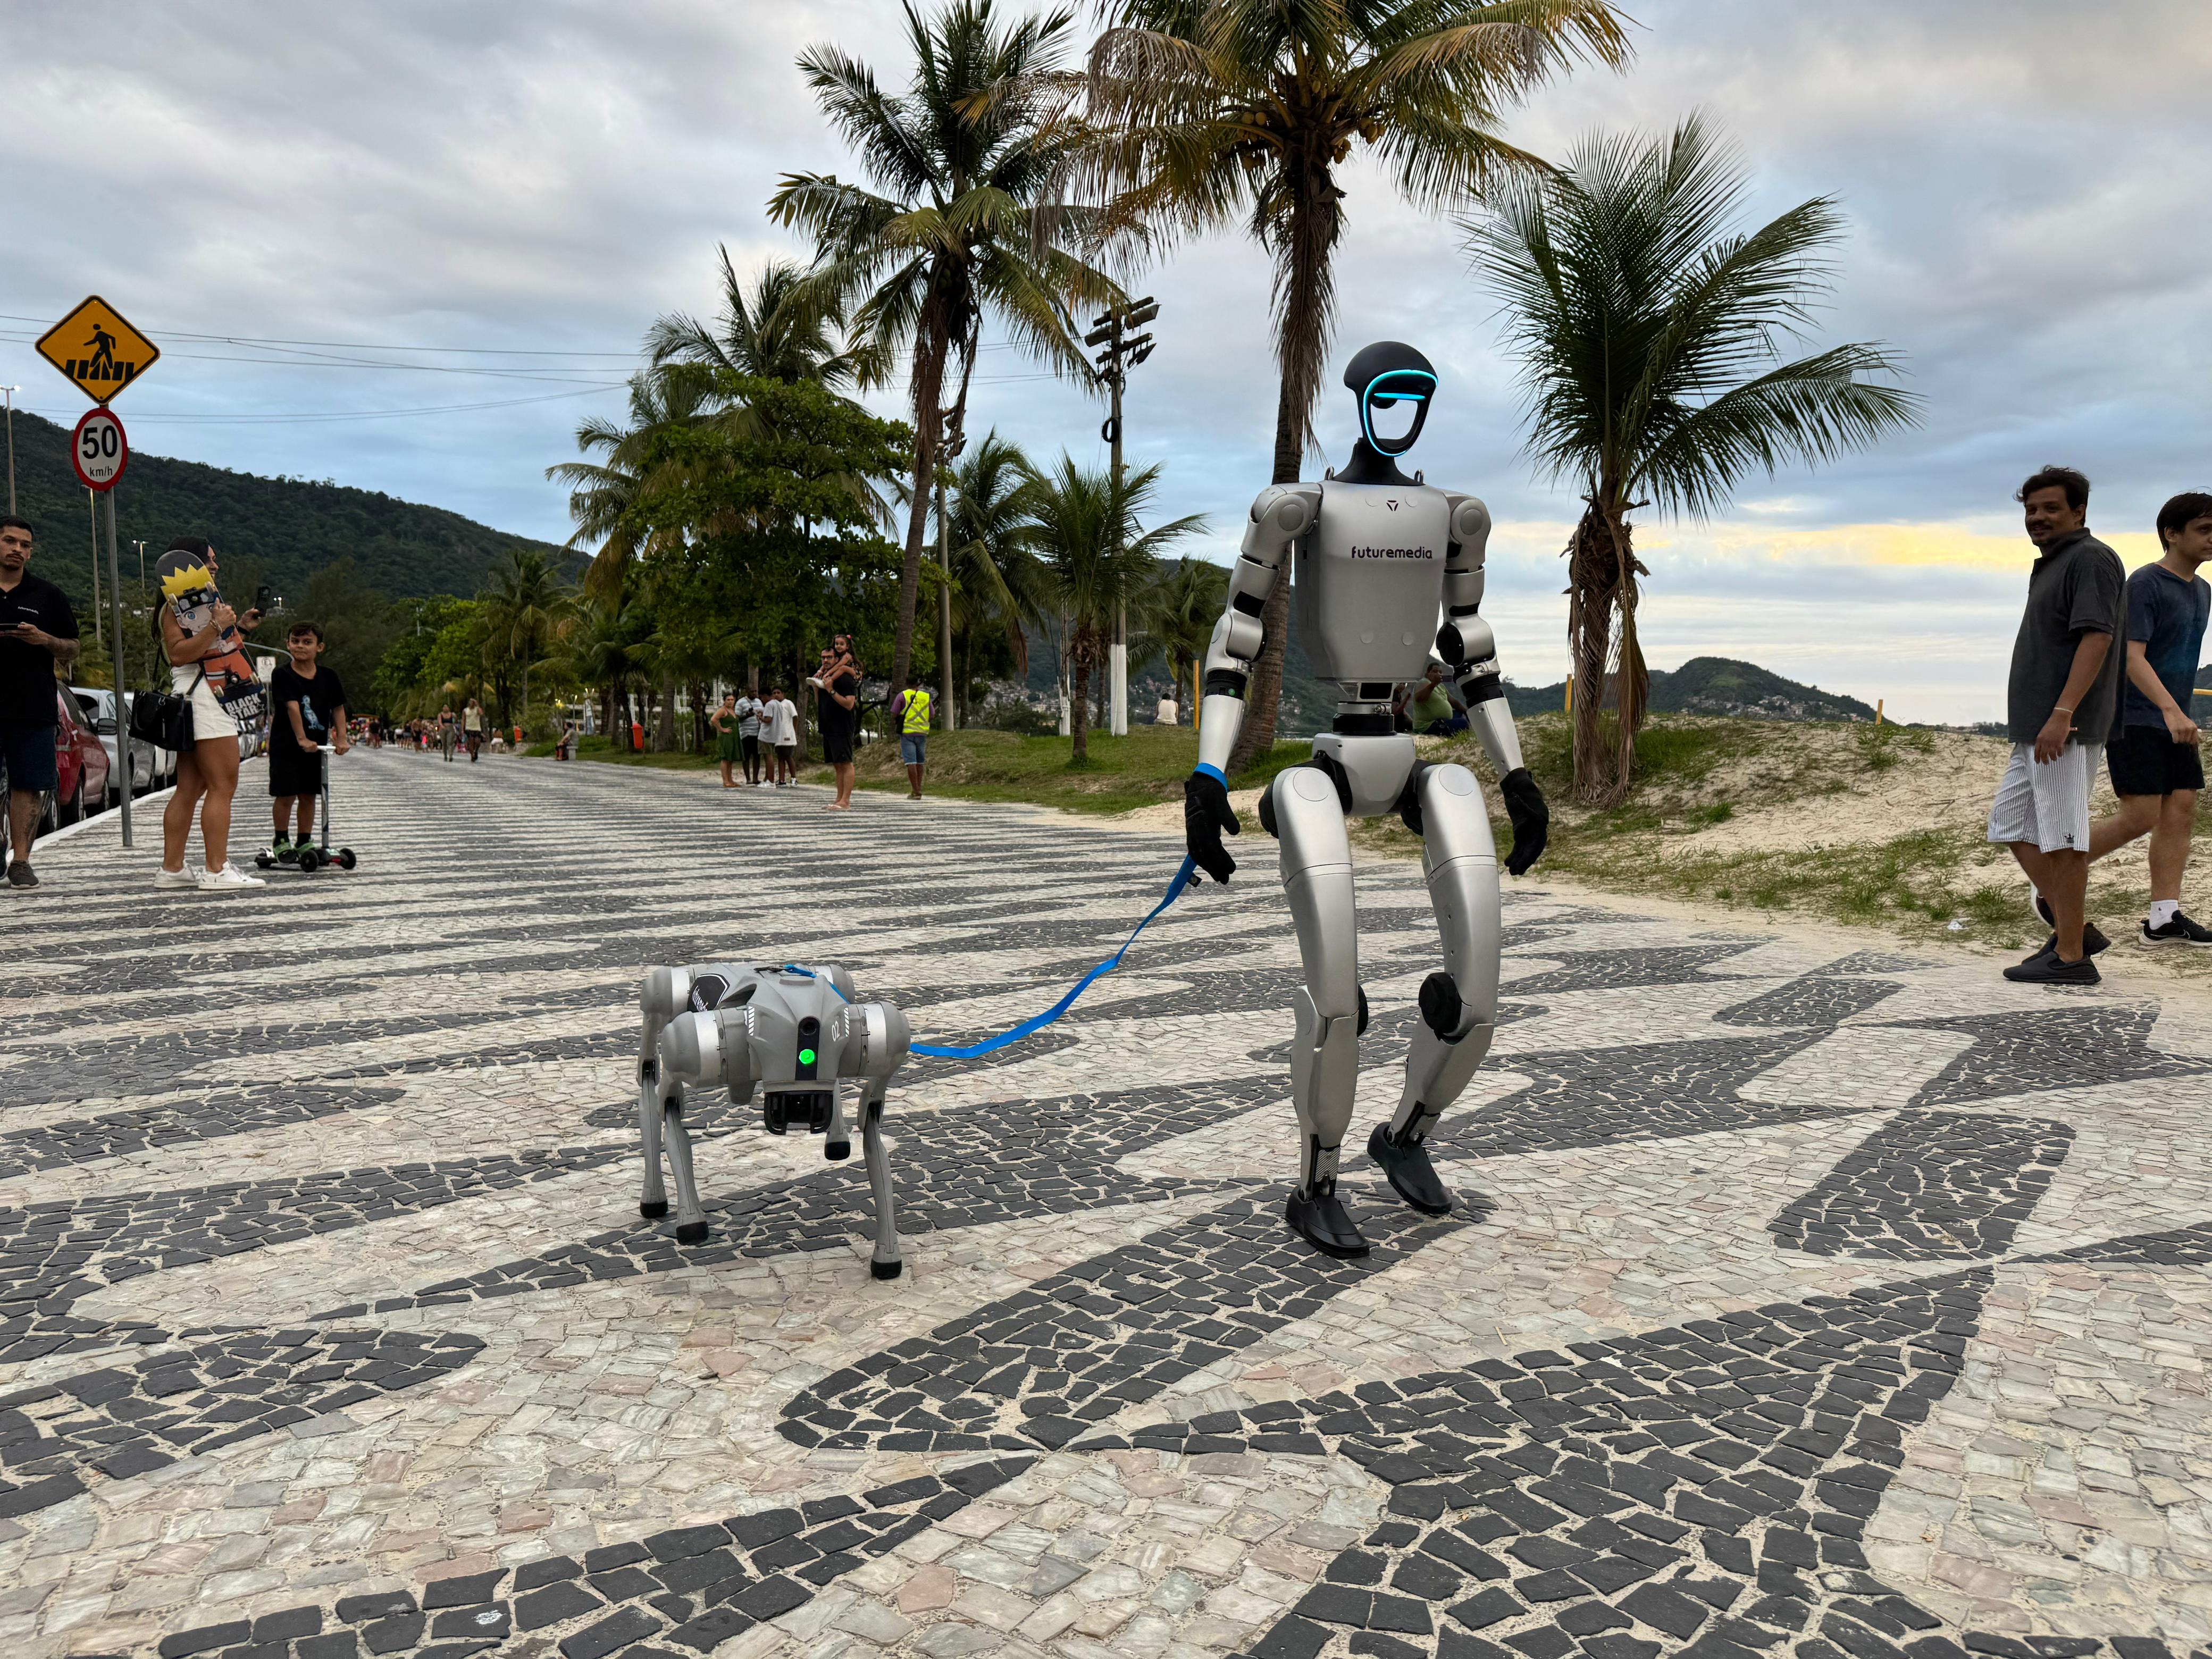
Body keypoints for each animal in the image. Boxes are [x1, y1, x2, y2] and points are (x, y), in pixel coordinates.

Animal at [632, 334, 1548, 1274]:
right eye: (1387, 391)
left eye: (1415, 392)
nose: (1402, 417)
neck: (1380, 480)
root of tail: (1368, 768)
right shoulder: (1286, 511)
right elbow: (1243, 631)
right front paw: (1203, 807)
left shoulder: (1465, 522)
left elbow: (1471, 647)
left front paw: (1527, 801)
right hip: (1308, 790)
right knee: (1335, 1007)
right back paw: (1321, 1200)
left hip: (1427, 788)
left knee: (1463, 991)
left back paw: (1402, 1153)